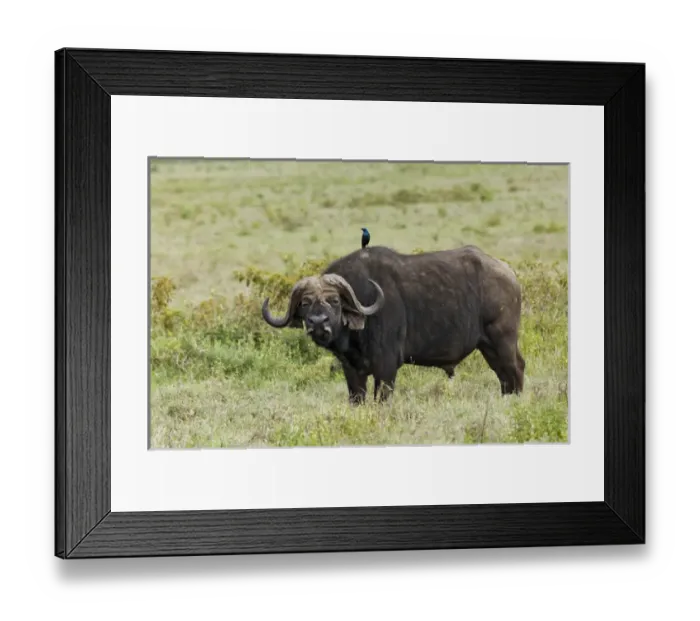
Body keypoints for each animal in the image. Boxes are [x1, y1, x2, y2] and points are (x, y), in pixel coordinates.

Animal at [261, 244, 525, 404]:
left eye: (334, 301)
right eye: (305, 303)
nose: (318, 322)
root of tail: (509, 274)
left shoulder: (386, 368)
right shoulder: (352, 371)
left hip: (502, 339)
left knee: (515, 370)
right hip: (488, 346)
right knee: (504, 376)